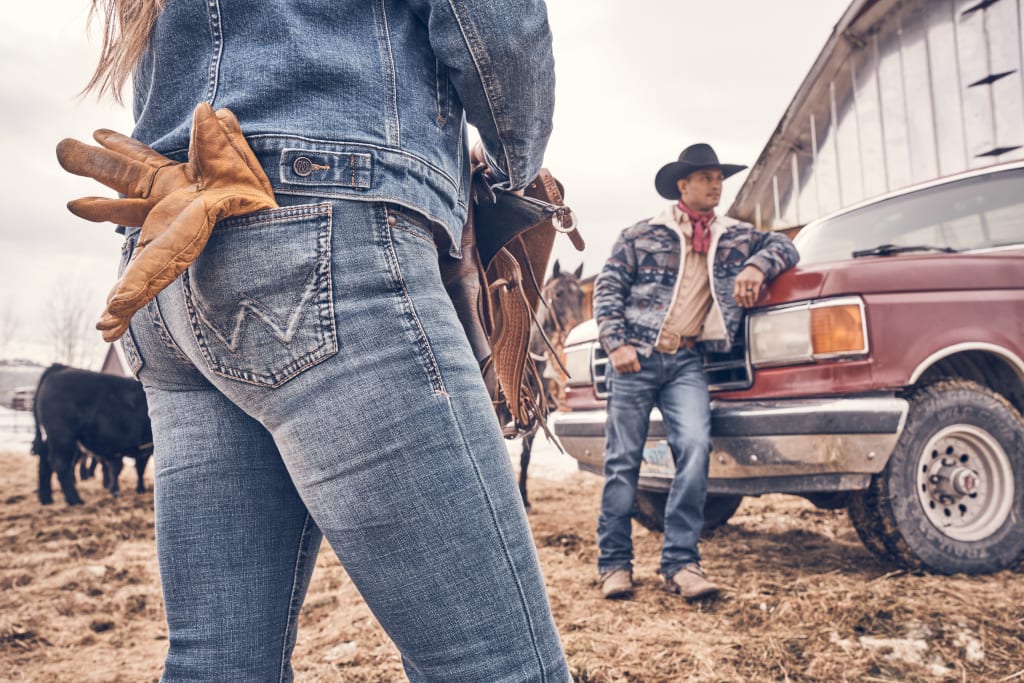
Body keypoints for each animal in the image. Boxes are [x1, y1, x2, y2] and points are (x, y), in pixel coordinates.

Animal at [31, 366, 153, 505]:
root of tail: (60, 368)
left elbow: (137, 469)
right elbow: (140, 468)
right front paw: (138, 490)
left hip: (53, 438)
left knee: (45, 462)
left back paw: (46, 498)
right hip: (62, 436)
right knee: (61, 464)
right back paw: (75, 500)